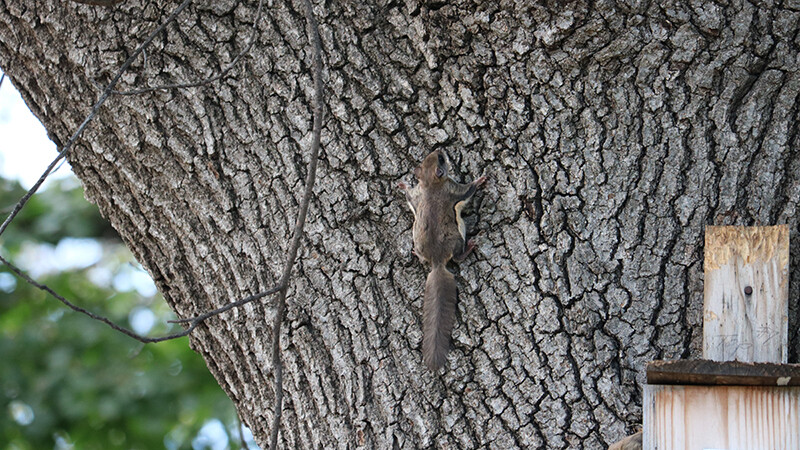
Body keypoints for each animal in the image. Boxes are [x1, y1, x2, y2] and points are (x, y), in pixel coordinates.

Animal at [399, 150, 486, 370]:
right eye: (441, 160)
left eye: (429, 158)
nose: (440, 150)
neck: (431, 184)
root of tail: (437, 263)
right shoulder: (454, 190)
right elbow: (469, 190)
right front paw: (481, 179)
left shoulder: (417, 196)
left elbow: (409, 196)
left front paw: (403, 185)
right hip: (458, 236)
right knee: (458, 256)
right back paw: (469, 248)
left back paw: (416, 254)